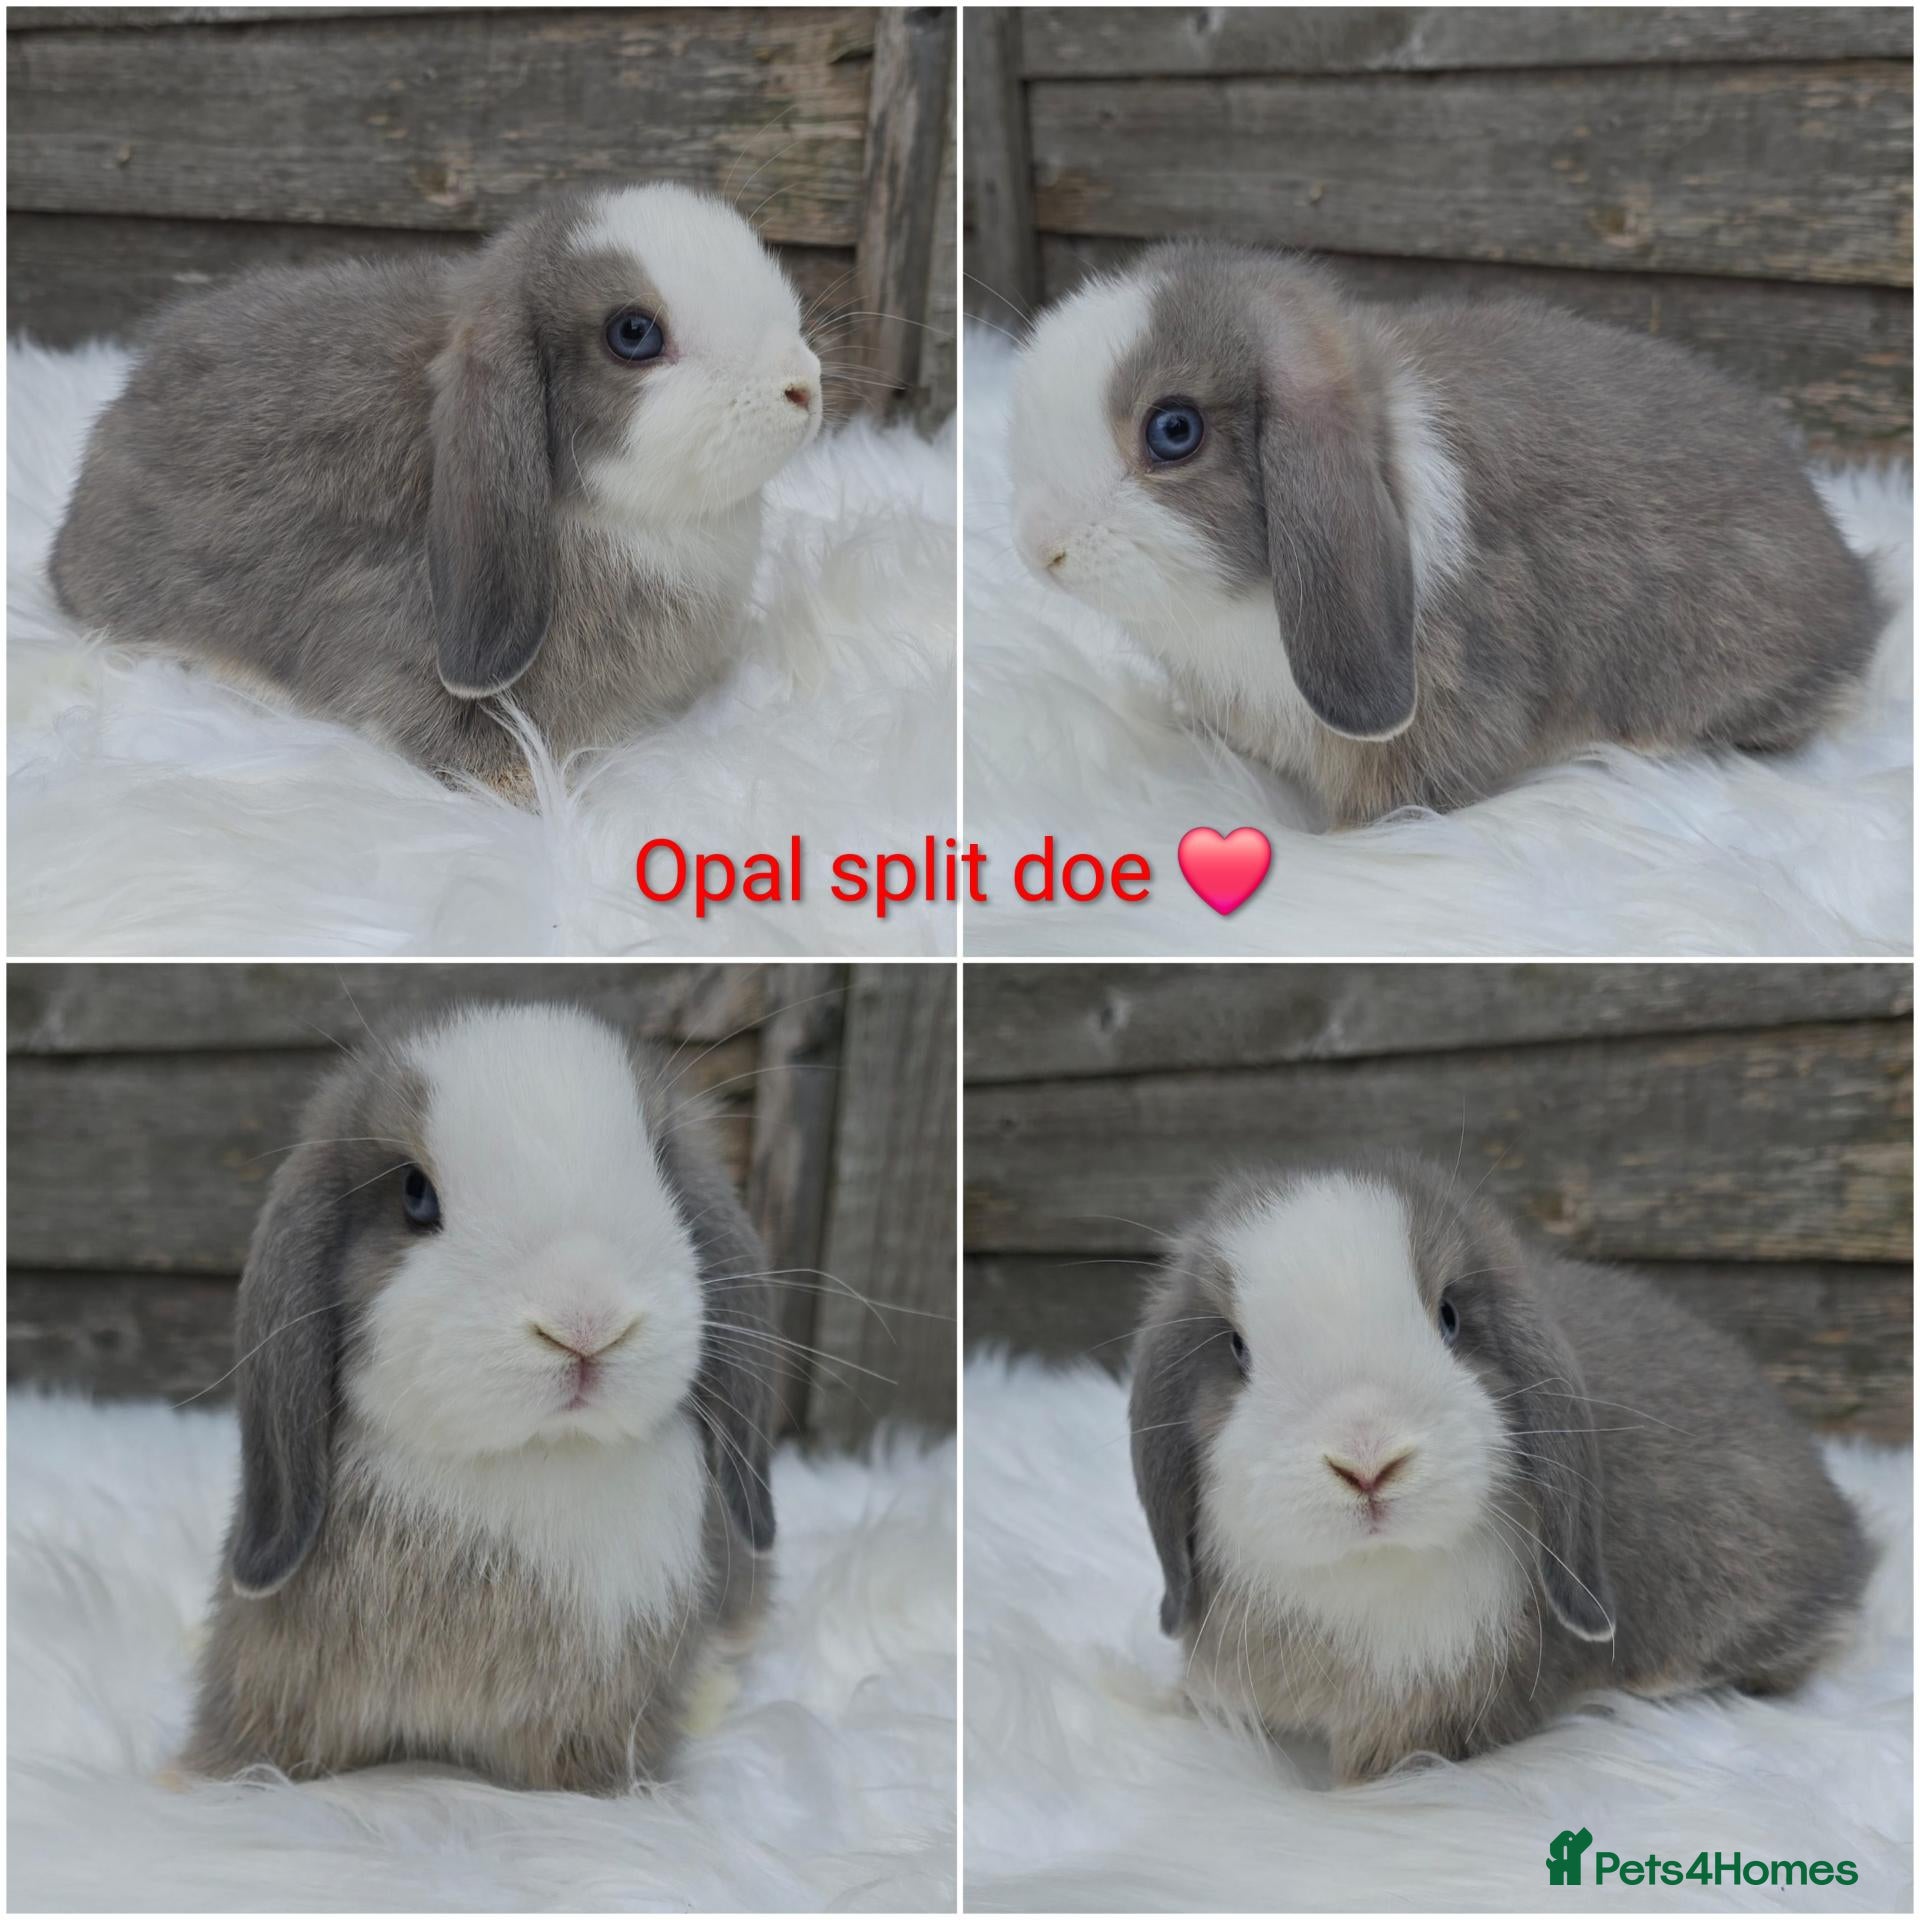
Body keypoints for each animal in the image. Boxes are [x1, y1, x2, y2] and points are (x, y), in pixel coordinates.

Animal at [180, 1001, 780, 1794]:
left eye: (659, 1167)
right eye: (415, 1194)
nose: (585, 1322)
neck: (520, 1464)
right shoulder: (279, 1683)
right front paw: (193, 1779)